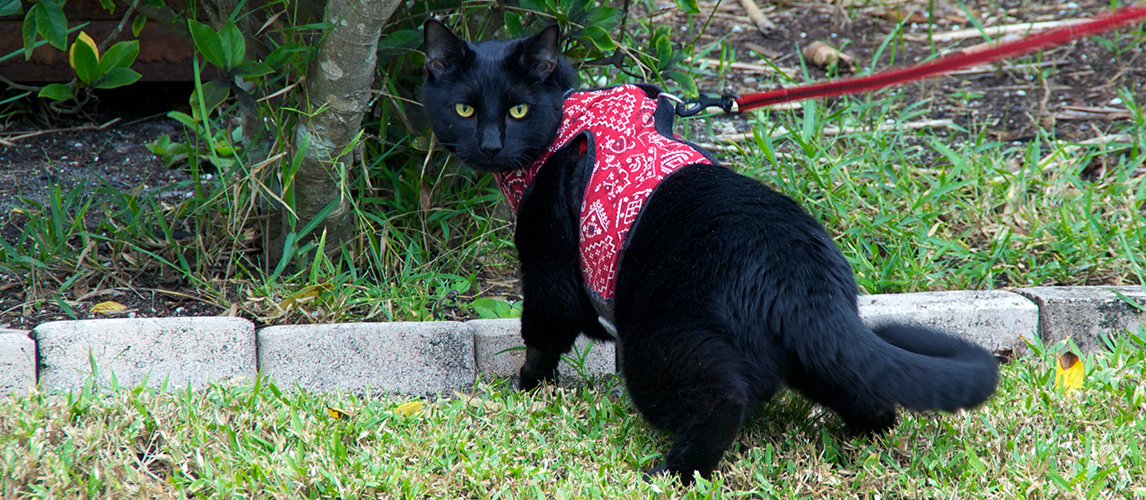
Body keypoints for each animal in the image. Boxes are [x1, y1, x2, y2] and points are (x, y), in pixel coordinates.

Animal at [419, 20, 994, 483]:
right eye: (464, 109)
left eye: (517, 109)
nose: (490, 145)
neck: (565, 116)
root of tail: (801, 279)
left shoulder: (547, 267)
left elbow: (541, 335)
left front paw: (525, 388)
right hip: (817, 357)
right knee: (873, 398)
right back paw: (856, 441)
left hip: (661, 342)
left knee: (723, 400)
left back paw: (668, 473)